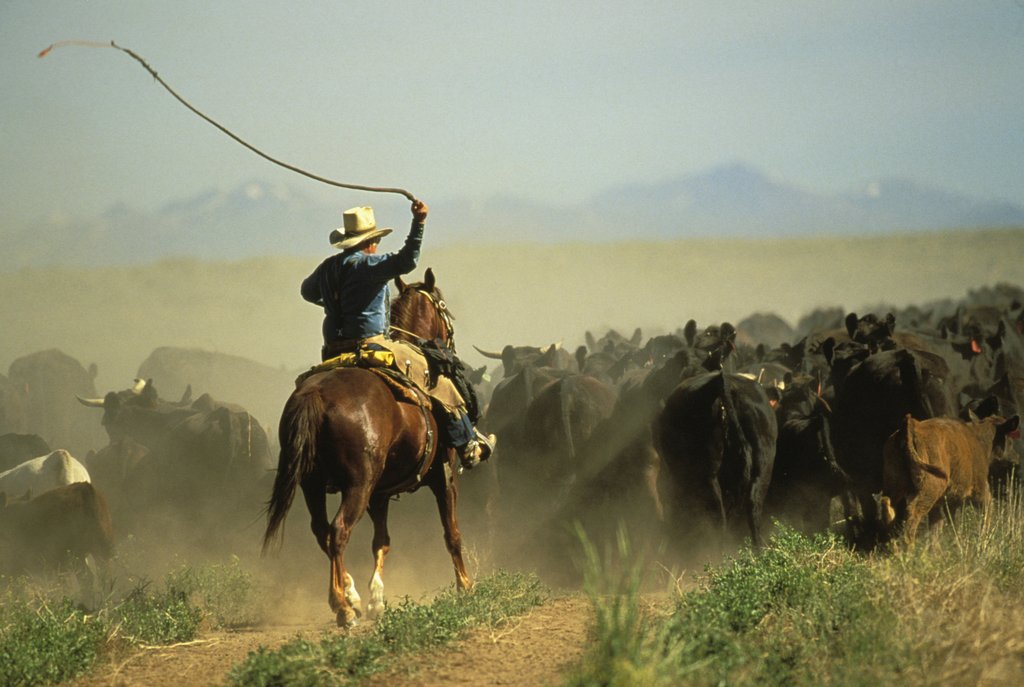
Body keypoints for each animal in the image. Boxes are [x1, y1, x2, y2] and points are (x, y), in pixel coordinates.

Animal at [266, 268, 468, 630]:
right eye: (443, 305)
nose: (451, 340)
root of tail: (315, 395)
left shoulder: (381, 493)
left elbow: (381, 541)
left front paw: (376, 600)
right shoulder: (443, 477)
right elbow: (452, 533)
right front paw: (465, 587)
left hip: (313, 485)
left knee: (323, 532)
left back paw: (350, 596)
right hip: (357, 485)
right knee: (339, 530)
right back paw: (342, 607)